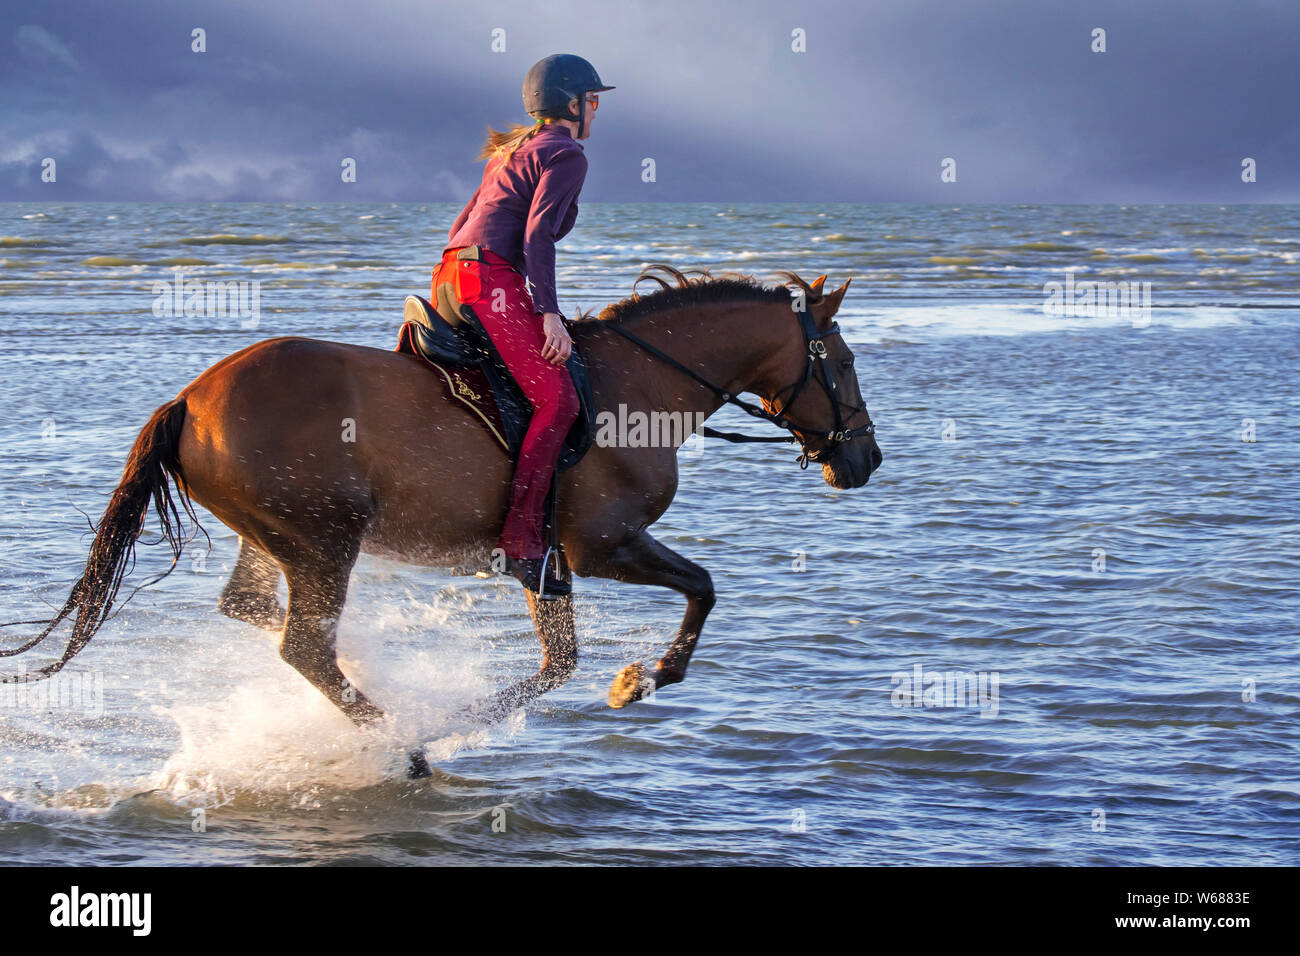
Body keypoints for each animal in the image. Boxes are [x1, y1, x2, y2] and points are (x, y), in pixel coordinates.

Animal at [1, 265, 882, 777]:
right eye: (842, 364)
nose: (865, 459)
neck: (640, 385)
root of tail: (188, 400)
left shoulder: (547, 559)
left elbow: (564, 660)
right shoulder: (601, 546)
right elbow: (699, 590)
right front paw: (641, 678)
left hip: (276, 537)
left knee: (256, 612)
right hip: (325, 539)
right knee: (302, 645)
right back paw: (402, 743)